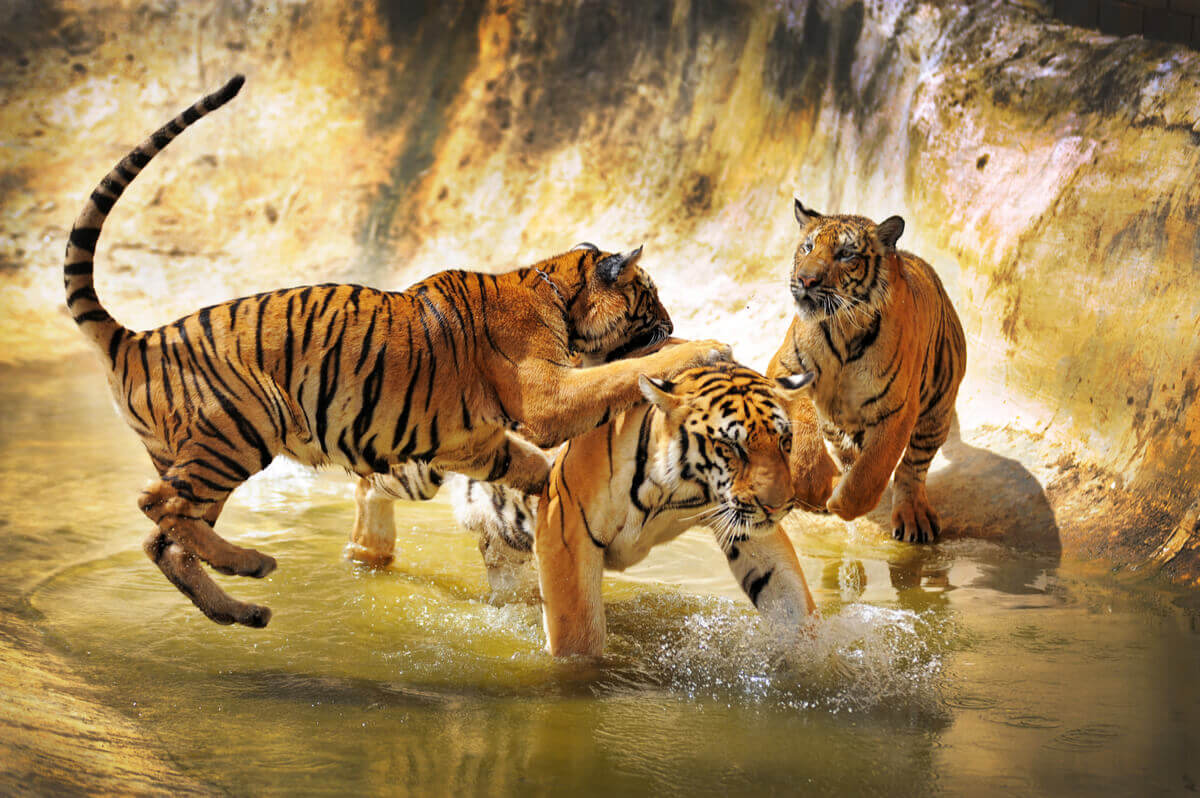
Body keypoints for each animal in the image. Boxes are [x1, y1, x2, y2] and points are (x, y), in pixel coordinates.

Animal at [62, 74, 730, 628]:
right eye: (652, 296)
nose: (673, 320)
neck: (551, 287)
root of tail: (138, 338)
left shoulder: (471, 439)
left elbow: (525, 470)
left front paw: (538, 499)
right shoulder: (545, 395)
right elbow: (624, 371)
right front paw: (707, 345)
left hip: (206, 452)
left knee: (164, 537)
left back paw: (242, 606)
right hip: (241, 426)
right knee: (156, 507)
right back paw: (251, 566)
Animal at [768, 199, 967, 544]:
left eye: (846, 255)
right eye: (808, 247)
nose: (805, 280)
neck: (843, 328)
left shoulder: (898, 409)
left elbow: (872, 471)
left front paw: (842, 503)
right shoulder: (786, 368)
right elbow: (805, 425)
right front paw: (812, 485)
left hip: (936, 414)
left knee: (912, 468)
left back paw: (913, 517)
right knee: (844, 449)